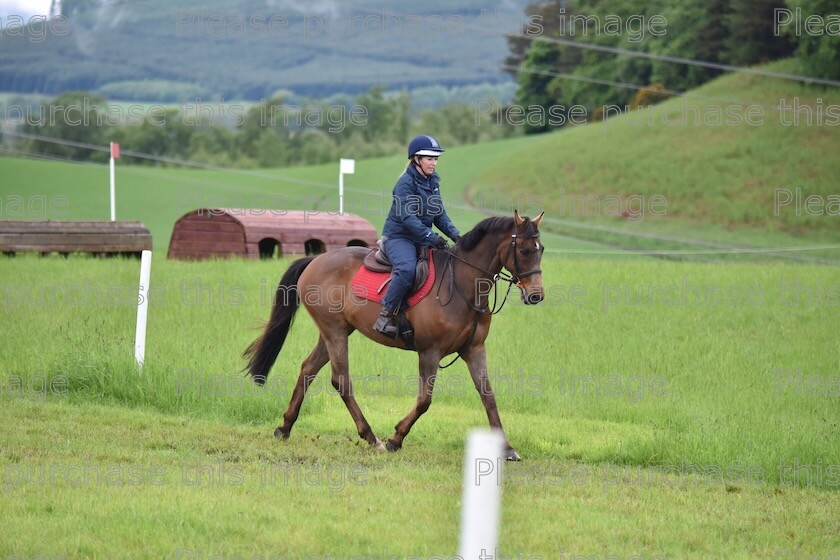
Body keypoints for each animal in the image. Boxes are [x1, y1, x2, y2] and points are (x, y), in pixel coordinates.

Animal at [243, 210, 544, 460]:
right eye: (524, 250)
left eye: (540, 250)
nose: (536, 295)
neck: (461, 284)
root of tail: (316, 259)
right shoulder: (430, 352)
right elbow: (424, 401)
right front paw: (395, 438)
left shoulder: (474, 350)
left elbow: (488, 396)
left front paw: (507, 448)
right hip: (335, 332)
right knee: (341, 380)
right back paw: (371, 437)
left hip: (334, 331)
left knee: (308, 369)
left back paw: (285, 427)